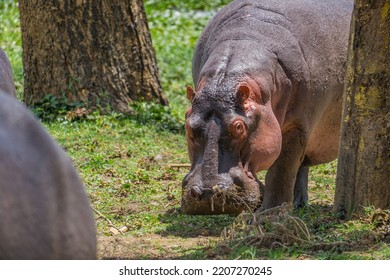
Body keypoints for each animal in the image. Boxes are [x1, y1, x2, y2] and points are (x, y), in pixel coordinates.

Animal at [182, 0, 354, 214]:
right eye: (189, 127)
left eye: (239, 126)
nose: (207, 193)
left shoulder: (296, 126)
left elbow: (281, 171)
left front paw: (270, 213)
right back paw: (297, 204)